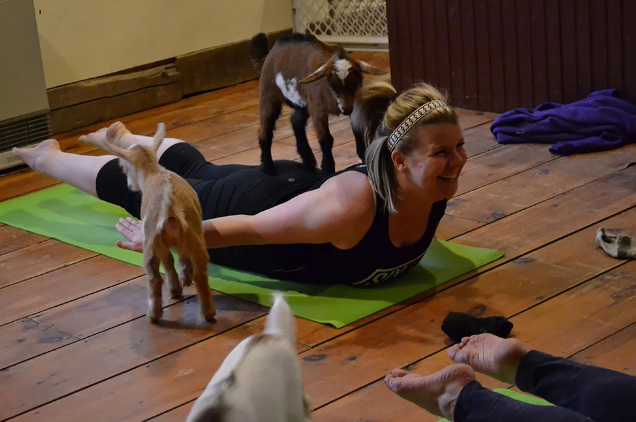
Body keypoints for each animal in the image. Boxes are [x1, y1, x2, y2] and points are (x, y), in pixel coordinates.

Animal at [80, 123, 216, 322]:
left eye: (124, 168)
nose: (130, 186)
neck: (153, 171)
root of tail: (170, 203)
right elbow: (182, 259)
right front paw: (185, 278)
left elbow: (168, 262)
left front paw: (176, 288)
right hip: (195, 239)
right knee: (201, 275)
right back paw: (207, 313)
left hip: (152, 244)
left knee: (156, 278)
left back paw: (155, 313)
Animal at [251, 32, 386, 175]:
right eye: (332, 85)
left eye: (355, 84)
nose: (345, 110)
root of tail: (271, 50)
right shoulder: (318, 110)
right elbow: (326, 140)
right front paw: (328, 169)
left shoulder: (353, 105)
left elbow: (357, 129)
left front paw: (364, 155)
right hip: (269, 96)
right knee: (265, 130)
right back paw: (268, 167)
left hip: (303, 103)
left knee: (296, 121)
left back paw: (308, 159)